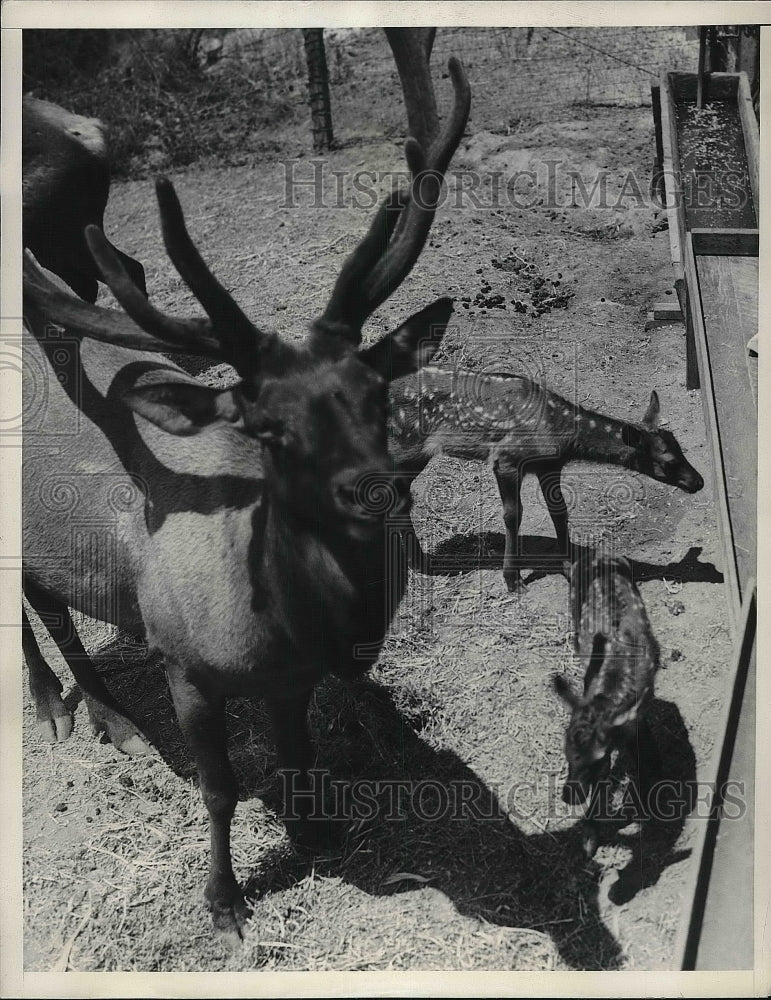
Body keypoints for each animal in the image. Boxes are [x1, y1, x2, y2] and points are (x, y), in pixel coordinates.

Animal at [392, 368, 704, 584]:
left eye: (680, 446)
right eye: (668, 461)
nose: (698, 481)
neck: (557, 427)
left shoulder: (550, 464)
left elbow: (560, 511)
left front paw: (568, 567)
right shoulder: (506, 459)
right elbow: (513, 515)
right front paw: (512, 578)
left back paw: (420, 563)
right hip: (404, 447)